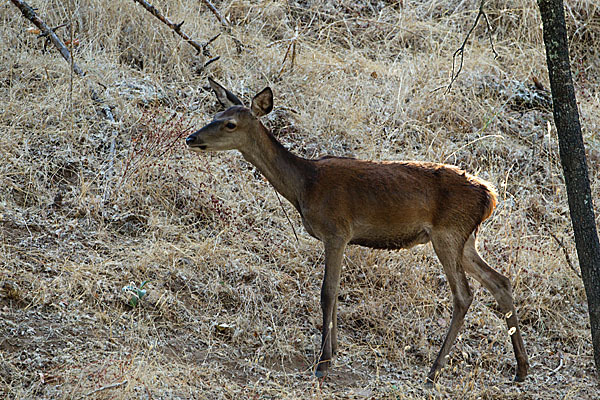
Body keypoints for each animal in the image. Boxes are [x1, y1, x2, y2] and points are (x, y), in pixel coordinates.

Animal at [185, 77, 528, 384]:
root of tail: (489, 196)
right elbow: (335, 292)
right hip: (465, 239)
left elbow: (327, 292)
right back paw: (521, 370)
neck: (304, 187)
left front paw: (323, 363)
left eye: (230, 124)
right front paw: (334, 352)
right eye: (214, 116)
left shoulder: (336, 231)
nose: (191, 138)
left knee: (464, 295)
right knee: (500, 281)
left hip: (448, 234)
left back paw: (434, 372)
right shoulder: (341, 238)